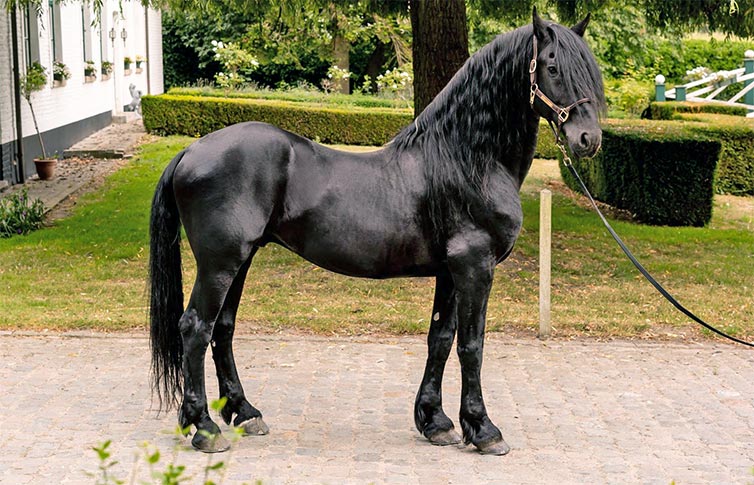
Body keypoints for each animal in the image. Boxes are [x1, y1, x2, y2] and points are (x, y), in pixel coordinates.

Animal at [149, 9, 605, 455]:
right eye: (552, 67)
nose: (589, 139)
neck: (466, 160)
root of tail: (191, 150)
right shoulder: (475, 267)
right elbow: (471, 346)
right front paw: (483, 429)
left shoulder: (450, 272)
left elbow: (440, 338)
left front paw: (436, 422)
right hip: (220, 263)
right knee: (196, 327)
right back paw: (205, 428)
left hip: (241, 259)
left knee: (222, 329)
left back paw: (244, 413)